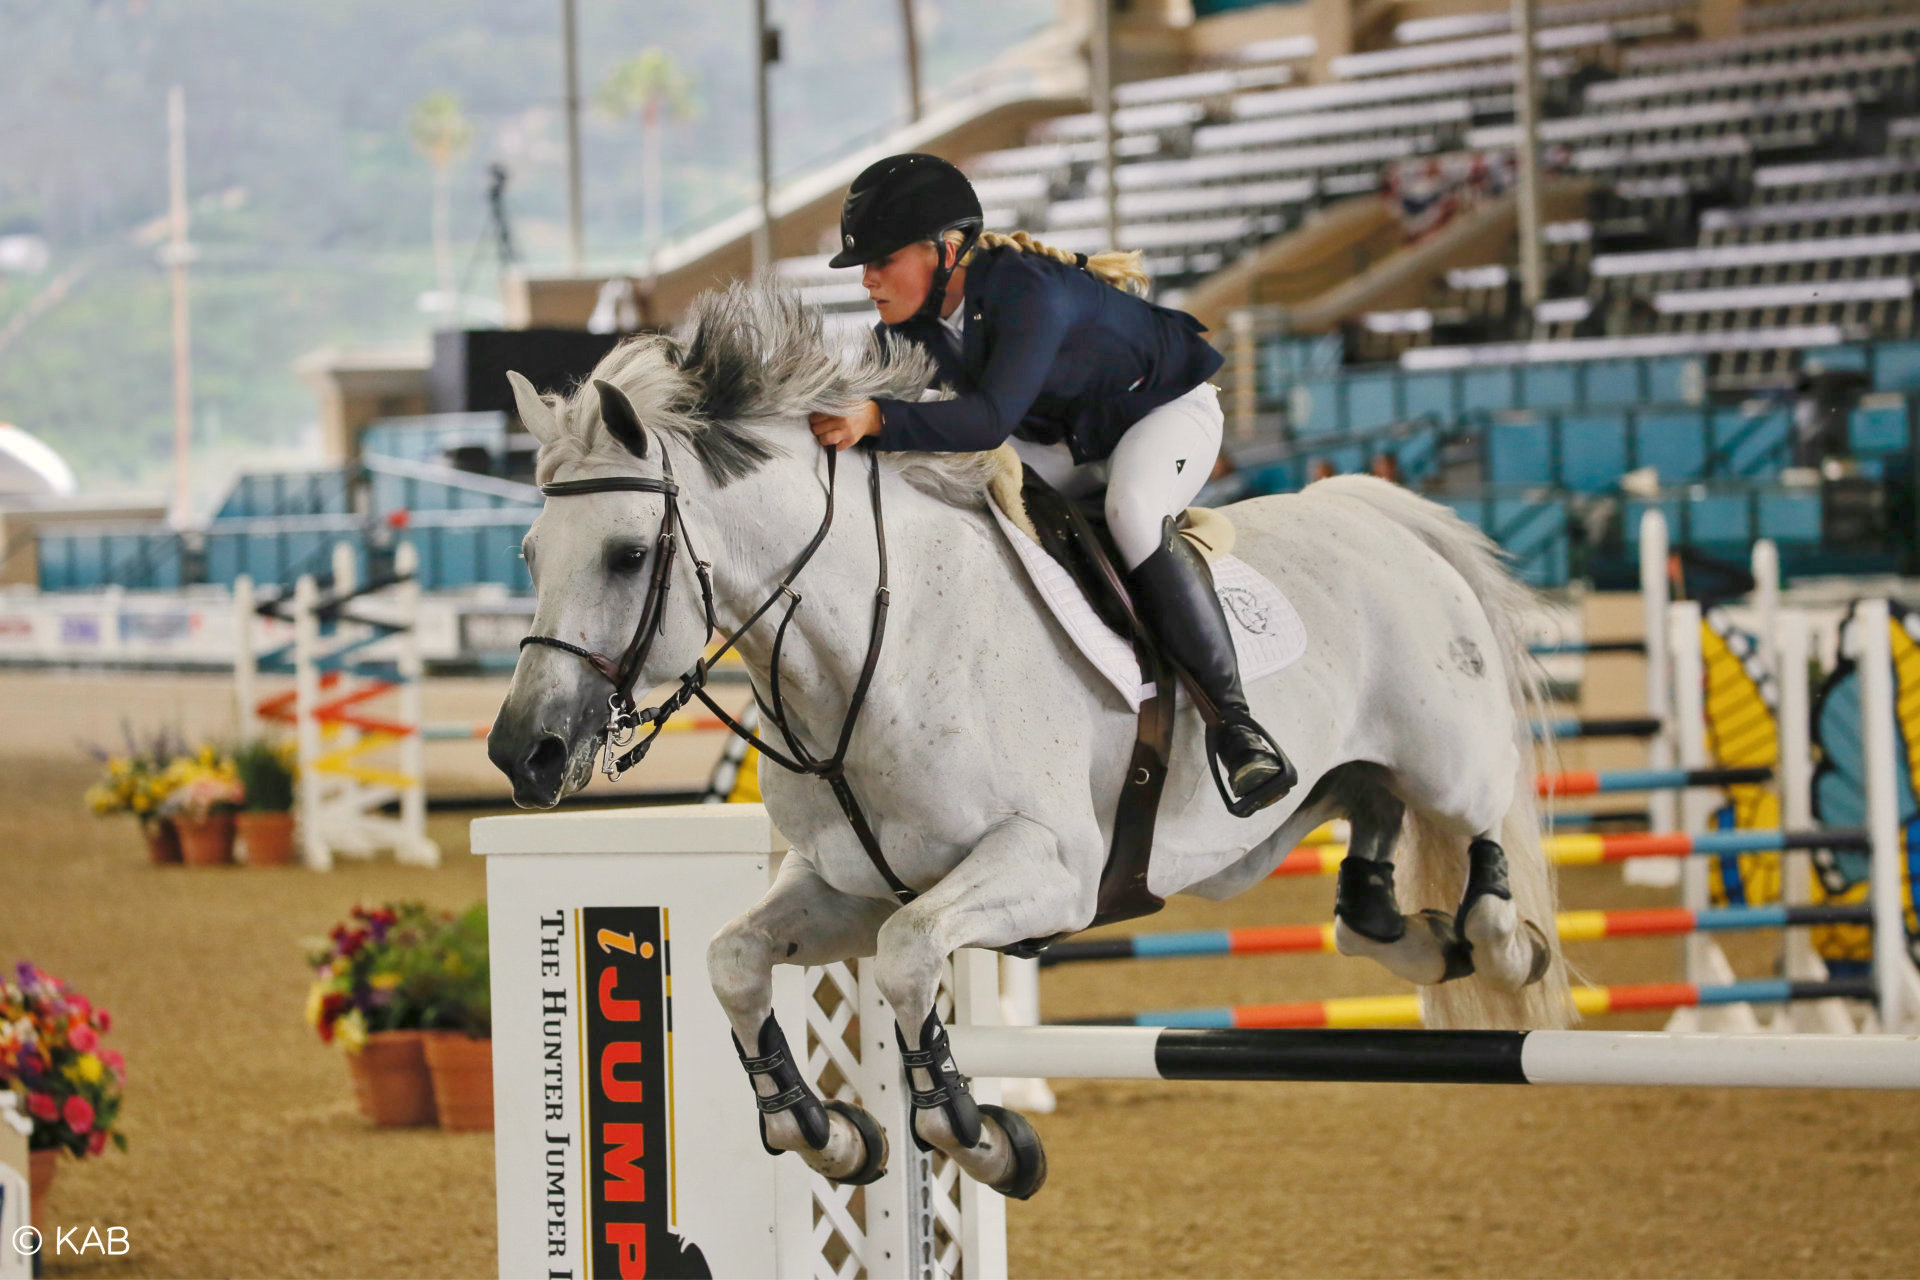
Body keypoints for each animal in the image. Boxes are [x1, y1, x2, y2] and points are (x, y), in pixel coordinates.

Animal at [495, 278, 1574, 1205]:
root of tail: (1371, 505)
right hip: (1319, 798)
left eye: (628, 553)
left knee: (1479, 830)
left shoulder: (1049, 869)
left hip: (1444, 755)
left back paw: (1498, 943)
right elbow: (735, 960)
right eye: (530, 557)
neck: (867, 656)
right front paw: (826, 1131)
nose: (522, 754)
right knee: (1367, 865)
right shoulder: (847, 887)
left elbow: (907, 956)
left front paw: (978, 1137)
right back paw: (1420, 939)